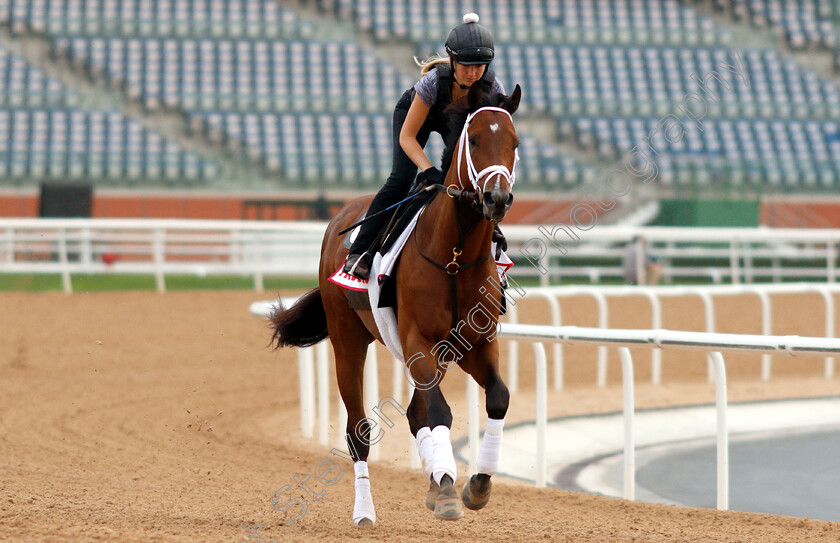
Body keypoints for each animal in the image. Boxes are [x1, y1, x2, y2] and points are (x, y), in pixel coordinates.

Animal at [270, 83, 520, 524]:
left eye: (515, 142)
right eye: (473, 139)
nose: (497, 198)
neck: (454, 255)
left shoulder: (475, 342)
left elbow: (497, 397)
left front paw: (476, 484)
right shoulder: (419, 339)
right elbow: (439, 412)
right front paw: (449, 488)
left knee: (415, 414)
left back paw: (435, 481)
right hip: (347, 338)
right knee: (359, 431)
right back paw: (365, 511)